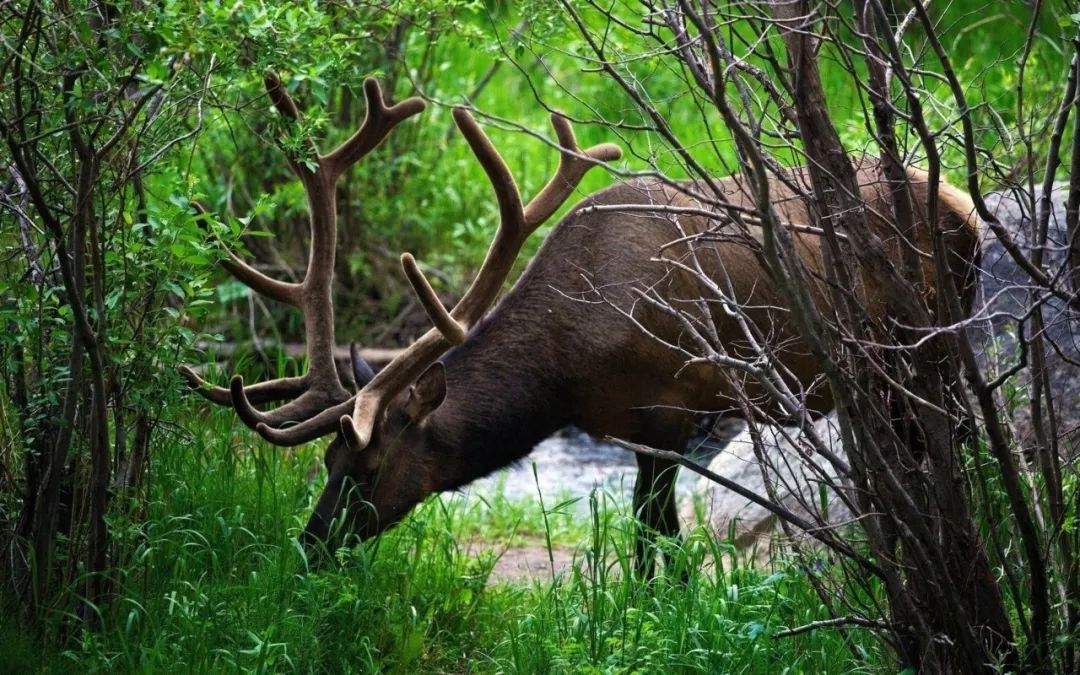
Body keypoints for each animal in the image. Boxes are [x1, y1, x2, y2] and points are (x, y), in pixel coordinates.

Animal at [181, 76, 984, 570]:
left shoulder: (670, 405)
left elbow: (654, 537)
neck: (566, 373)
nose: (310, 547)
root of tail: (964, 206)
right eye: (326, 462)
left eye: (369, 466)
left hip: (928, 349)